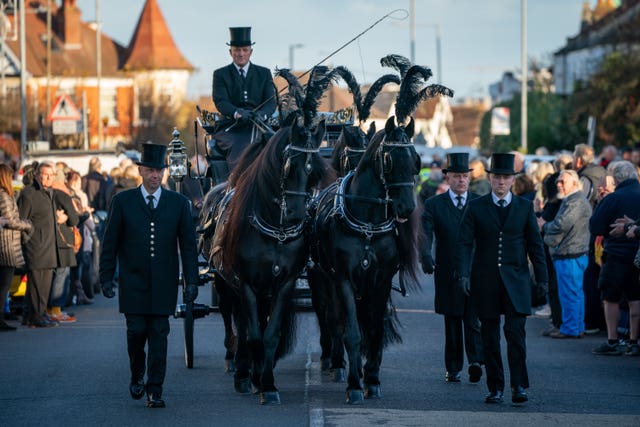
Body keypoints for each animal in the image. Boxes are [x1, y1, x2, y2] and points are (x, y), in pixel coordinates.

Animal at [312, 116, 424, 404]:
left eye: (415, 159)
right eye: (389, 159)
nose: (407, 207)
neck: (367, 227)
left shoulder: (381, 281)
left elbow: (374, 331)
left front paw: (372, 380)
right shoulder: (343, 280)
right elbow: (351, 332)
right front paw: (354, 385)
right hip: (324, 279)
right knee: (331, 319)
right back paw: (336, 363)